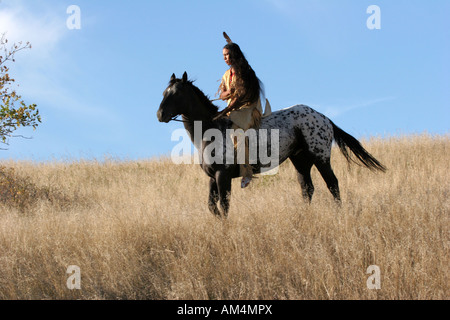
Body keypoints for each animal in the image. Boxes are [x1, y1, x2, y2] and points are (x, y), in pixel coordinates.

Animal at [156, 72, 384, 218]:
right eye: (164, 92)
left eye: (176, 93)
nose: (160, 115)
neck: (211, 131)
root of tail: (324, 118)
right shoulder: (213, 177)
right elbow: (213, 207)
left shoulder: (223, 176)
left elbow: (224, 205)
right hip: (301, 162)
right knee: (307, 189)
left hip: (320, 157)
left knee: (332, 185)